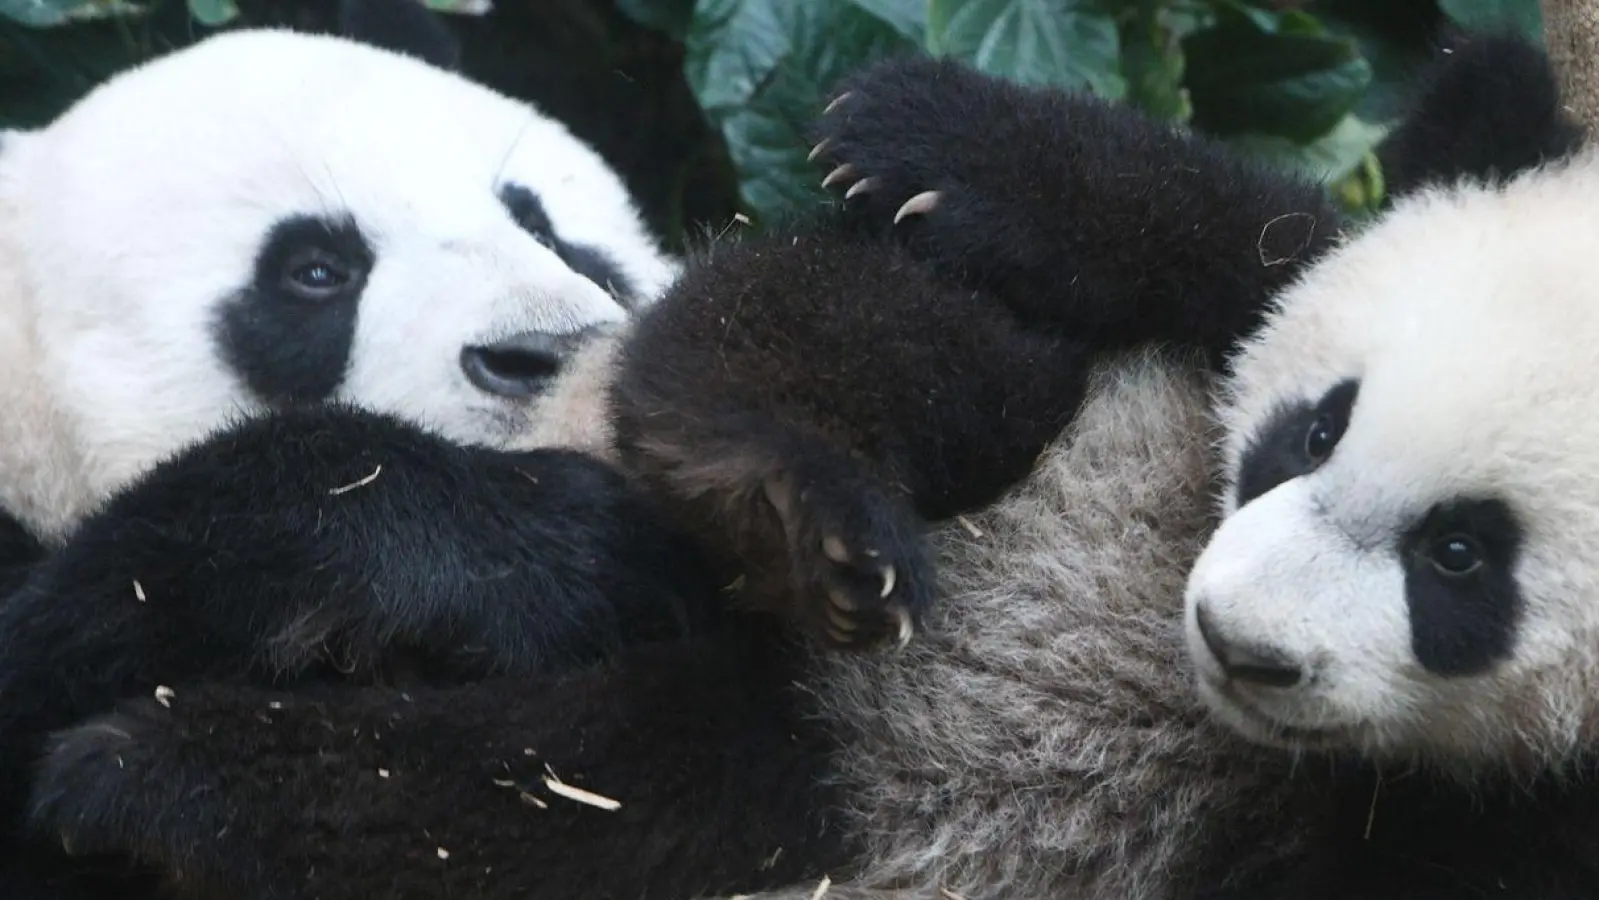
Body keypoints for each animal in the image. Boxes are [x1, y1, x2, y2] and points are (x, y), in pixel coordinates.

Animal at [6, 24, 1592, 900]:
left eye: (1461, 560)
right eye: (315, 272)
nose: (1231, 635)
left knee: (564, 791)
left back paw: (171, 782)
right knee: (821, 334)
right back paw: (780, 492)